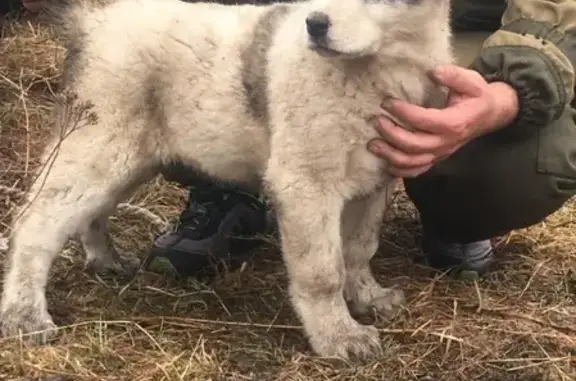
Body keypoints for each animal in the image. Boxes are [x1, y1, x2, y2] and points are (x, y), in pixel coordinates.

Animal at [1, 0, 454, 360]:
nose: (314, 25)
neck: (373, 68)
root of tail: (92, 21)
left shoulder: (375, 180)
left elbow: (359, 249)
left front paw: (367, 297)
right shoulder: (306, 185)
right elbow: (323, 271)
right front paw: (337, 336)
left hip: (128, 158)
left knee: (89, 214)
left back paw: (105, 260)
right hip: (101, 145)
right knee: (35, 223)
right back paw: (24, 315)